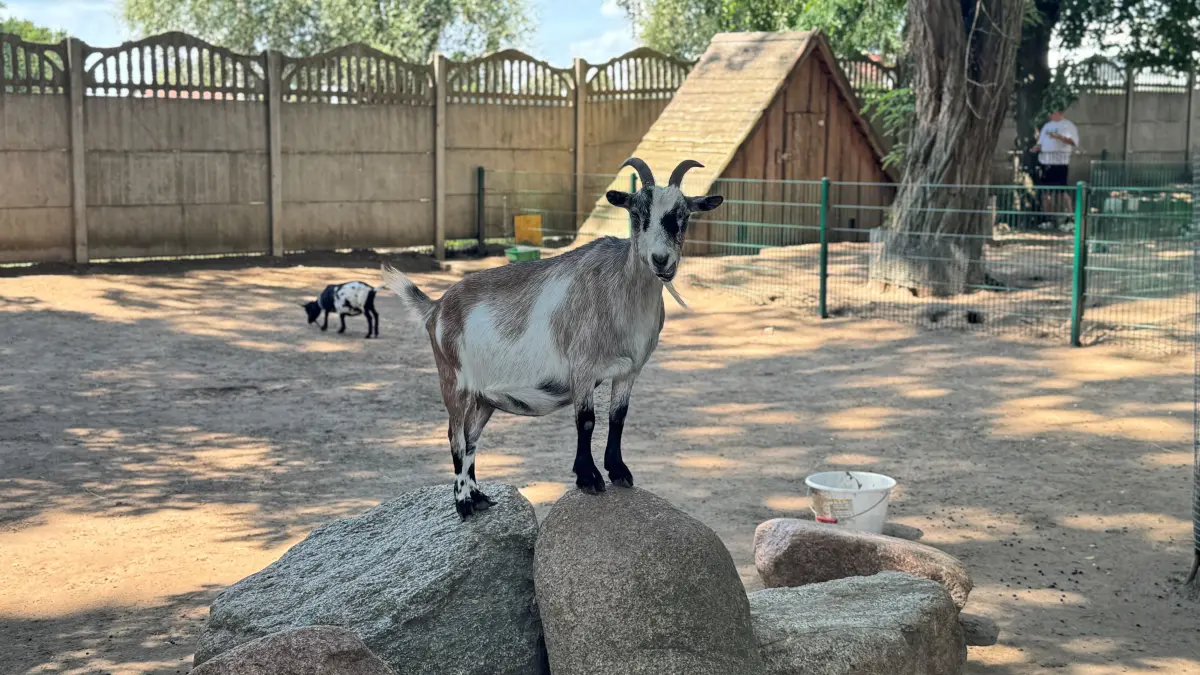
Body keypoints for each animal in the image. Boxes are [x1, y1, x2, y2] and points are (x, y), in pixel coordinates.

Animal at [382, 158, 723, 519]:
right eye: (636, 214)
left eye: (683, 216)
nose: (661, 260)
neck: (621, 294)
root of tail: (436, 307)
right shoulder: (582, 367)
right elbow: (586, 421)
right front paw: (589, 479)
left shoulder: (629, 371)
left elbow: (618, 418)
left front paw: (619, 472)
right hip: (453, 381)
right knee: (456, 437)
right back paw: (463, 504)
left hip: (483, 397)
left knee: (472, 438)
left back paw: (479, 497)